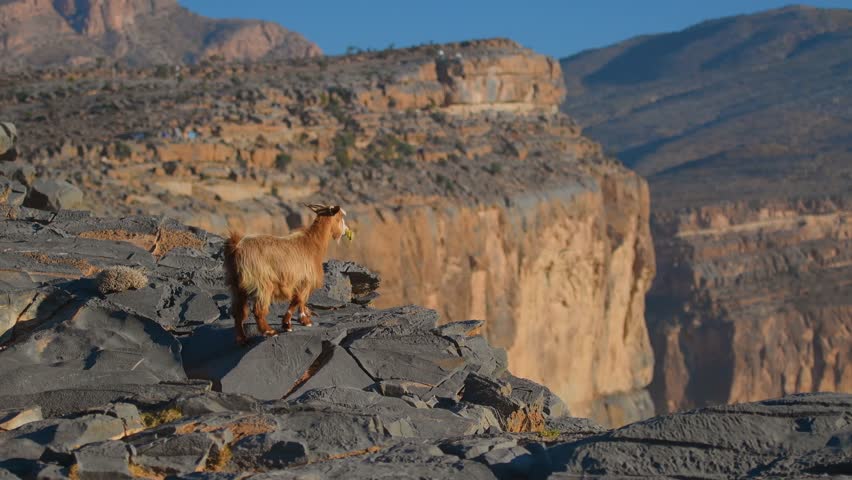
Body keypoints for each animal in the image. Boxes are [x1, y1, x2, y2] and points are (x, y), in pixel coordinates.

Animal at [223, 203, 350, 345]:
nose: (345, 231)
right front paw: (289, 324)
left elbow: (301, 301)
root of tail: (237, 247)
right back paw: (270, 332)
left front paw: (302, 320)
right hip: (263, 284)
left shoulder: (301, 282)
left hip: (236, 285)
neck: (312, 243)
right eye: (340, 217)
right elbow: (298, 300)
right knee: (258, 311)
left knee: (238, 312)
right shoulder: (305, 280)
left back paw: (242, 339)